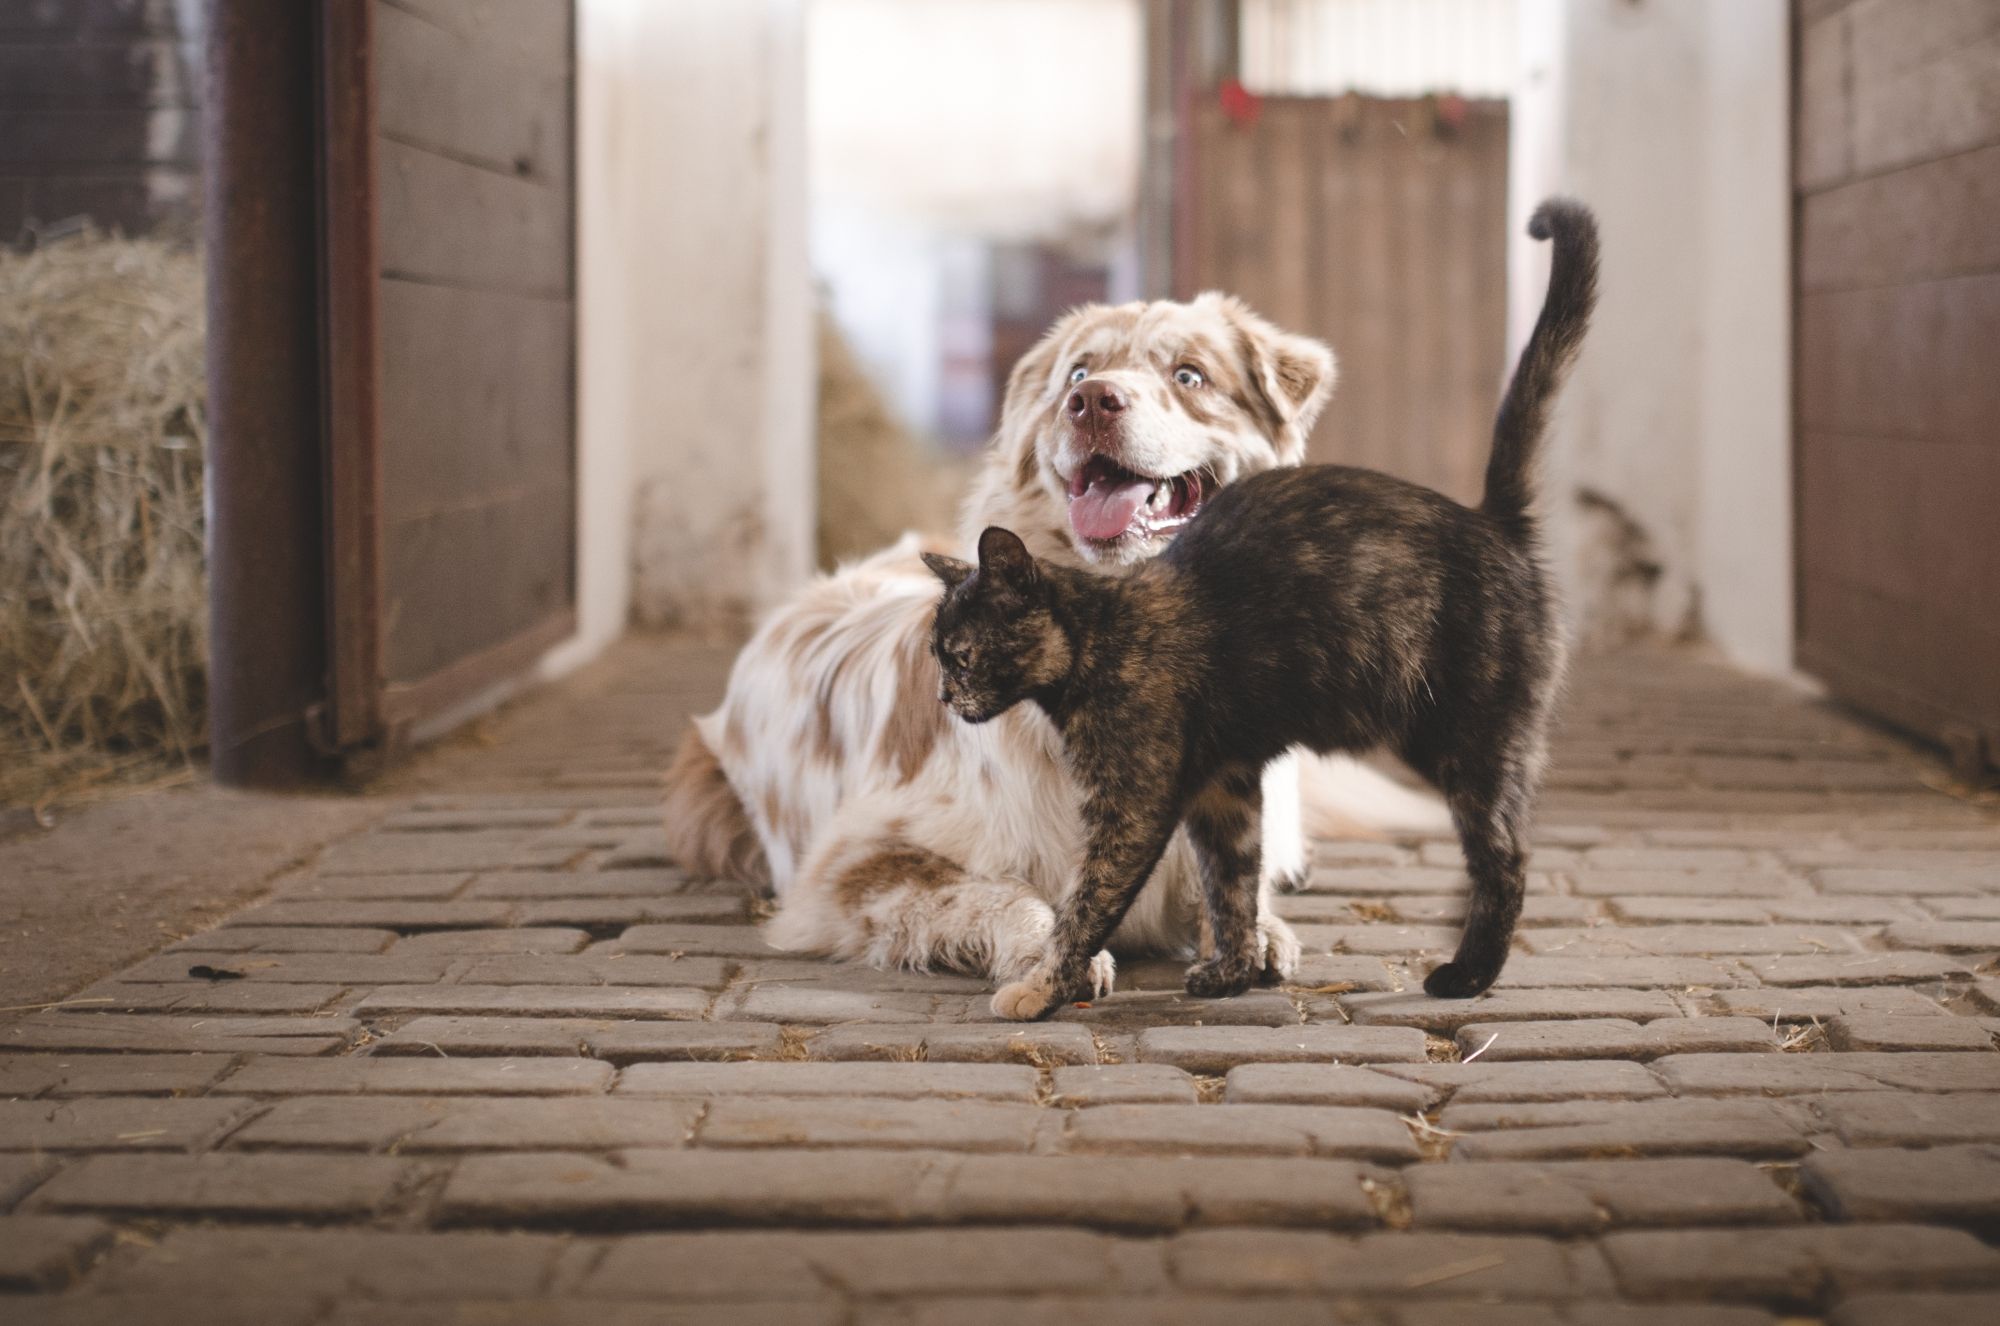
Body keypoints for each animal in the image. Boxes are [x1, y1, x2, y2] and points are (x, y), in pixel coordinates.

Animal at [664, 290, 1448, 996]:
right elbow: (1006, 896)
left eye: (1189, 375)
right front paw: (1052, 960)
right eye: (1077, 372)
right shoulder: (852, 866)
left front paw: (1258, 934)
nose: (1092, 401)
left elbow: (1227, 886)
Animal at [916, 197, 1592, 1020]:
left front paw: (1043, 986)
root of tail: (1490, 520)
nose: (945, 697)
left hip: (1468, 739)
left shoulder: (1135, 804)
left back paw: (1466, 974)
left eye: (963, 656)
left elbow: (1086, 902)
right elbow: (1231, 882)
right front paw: (1232, 970)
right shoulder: (1224, 786)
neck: (1102, 636)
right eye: (937, 657)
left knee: (1507, 857)